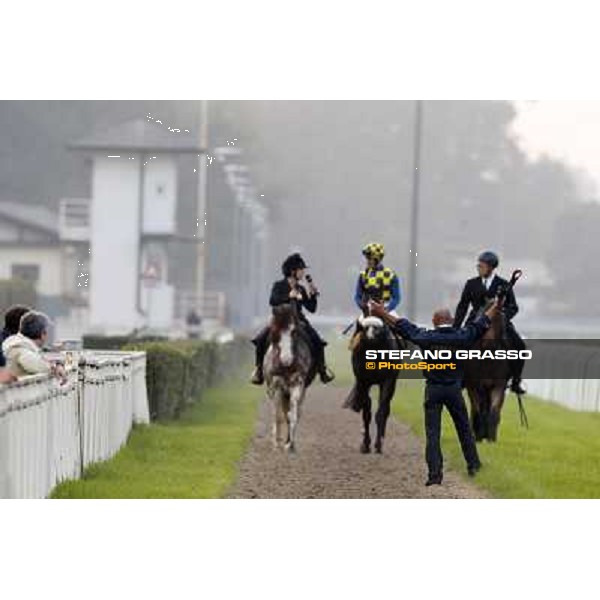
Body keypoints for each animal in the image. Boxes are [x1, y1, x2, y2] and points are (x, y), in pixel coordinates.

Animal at [264, 304, 316, 450]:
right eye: (275, 330)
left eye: (294, 331)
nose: (286, 360)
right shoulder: (276, 387)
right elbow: (278, 415)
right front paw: (276, 444)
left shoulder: (297, 384)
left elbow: (292, 415)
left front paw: (290, 445)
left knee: (294, 412)